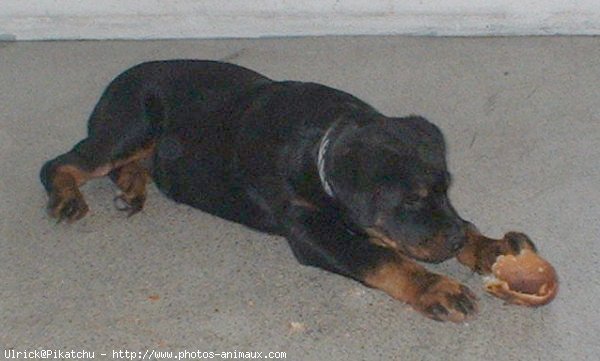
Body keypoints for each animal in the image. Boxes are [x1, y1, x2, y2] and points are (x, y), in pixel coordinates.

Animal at [39, 60, 536, 322]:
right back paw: (68, 197)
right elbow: (378, 257)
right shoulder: (308, 229)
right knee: (63, 162)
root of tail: (112, 84)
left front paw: (488, 246)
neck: (323, 147)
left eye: (446, 188)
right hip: (131, 124)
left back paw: (132, 188)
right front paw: (437, 287)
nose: (452, 241)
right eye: (410, 199)